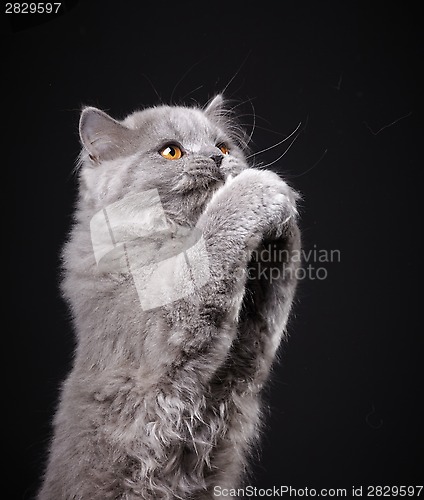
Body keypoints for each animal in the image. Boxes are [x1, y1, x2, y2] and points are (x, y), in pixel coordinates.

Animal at [37, 95, 302, 498]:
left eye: (224, 146)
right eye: (171, 151)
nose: (218, 158)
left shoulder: (246, 359)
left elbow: (272, 301)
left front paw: (279, 209)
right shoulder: (166, 326)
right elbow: (207, 246)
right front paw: (259, 185)